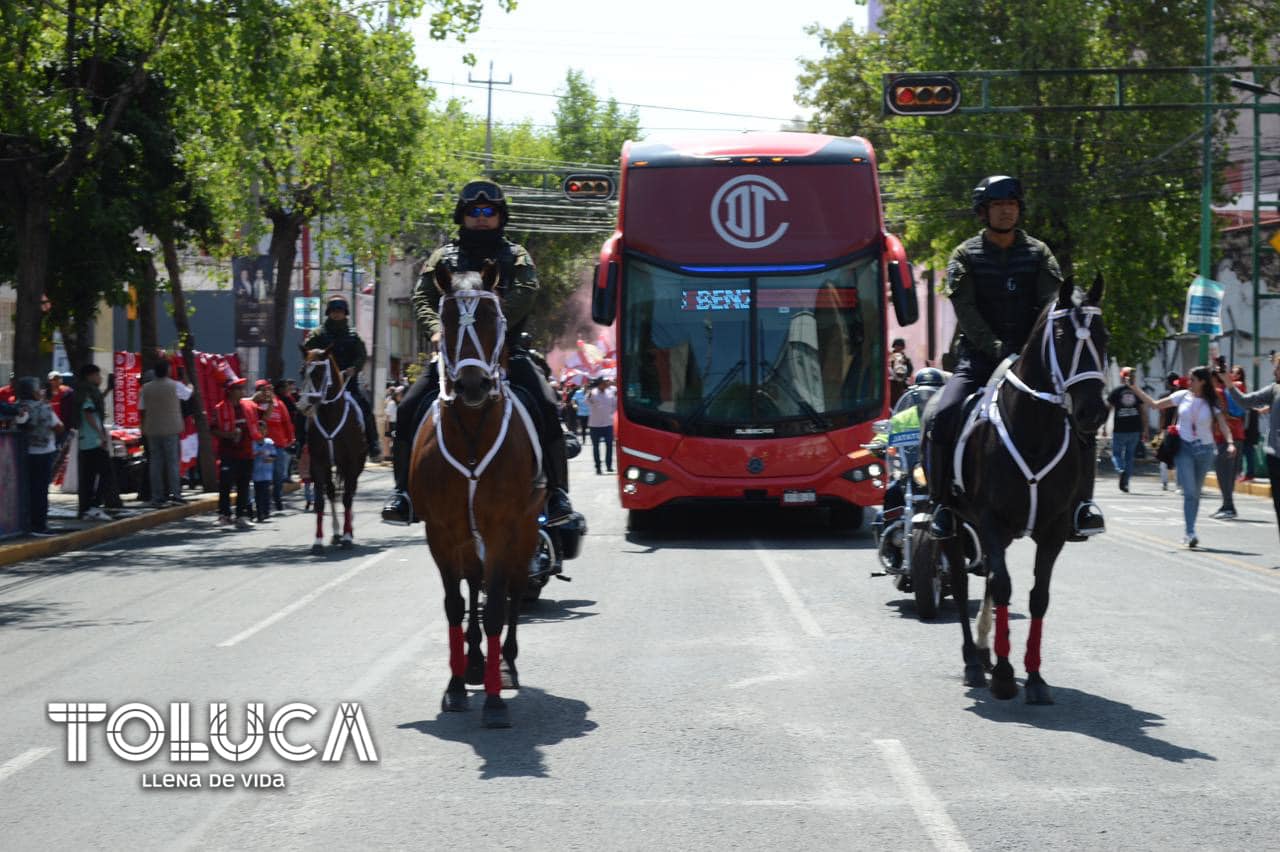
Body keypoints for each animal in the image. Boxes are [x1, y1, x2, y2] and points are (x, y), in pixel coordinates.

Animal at [295, 345, 366, 550]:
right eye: (302, 371)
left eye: (318, 373)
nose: (302, 405)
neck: (330, 415)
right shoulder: (318, 463)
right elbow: (320, 501)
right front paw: (318, 540)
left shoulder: (351, 463)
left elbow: (347, 498)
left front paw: (348, 535)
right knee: (332, 492)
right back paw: (336, 532)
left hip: (356, 466)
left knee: (349, 493)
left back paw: (348, 530)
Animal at [407, 258, 542, 721]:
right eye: (446, 320)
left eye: (491, 316)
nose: (471, 386)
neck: (471, 432)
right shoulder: (441, 532)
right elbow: (455, 605)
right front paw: (454, 686)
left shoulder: (502, 530)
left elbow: (497, 607)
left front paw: (495, 701)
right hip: (467, 539)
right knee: (472, 587)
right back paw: (474, 663)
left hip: (525, 532)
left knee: (514, 591)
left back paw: (505, 664)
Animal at [931, 273, 1111, 701]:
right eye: (1061, 335)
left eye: (1104, 334)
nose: (1093, 411)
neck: (1034, 429)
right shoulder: (990, 521)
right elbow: (1002, 586)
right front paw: (1003, 675)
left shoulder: (1053, 529)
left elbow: (1037, 597)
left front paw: (1034, 676)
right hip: (956, 524)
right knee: (962, 583)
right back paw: (973, 661)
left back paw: (984, 652)